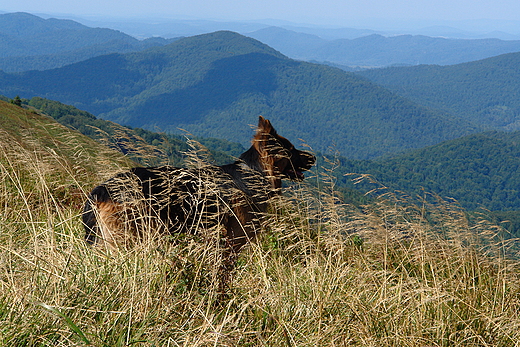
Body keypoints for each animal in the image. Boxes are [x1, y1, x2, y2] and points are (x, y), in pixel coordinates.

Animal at [83, 116, 314, 278]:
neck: (253, 173)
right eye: (291, 149)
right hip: (128, 240)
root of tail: (101, 189)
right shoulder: (231, 244)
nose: (314, 157)